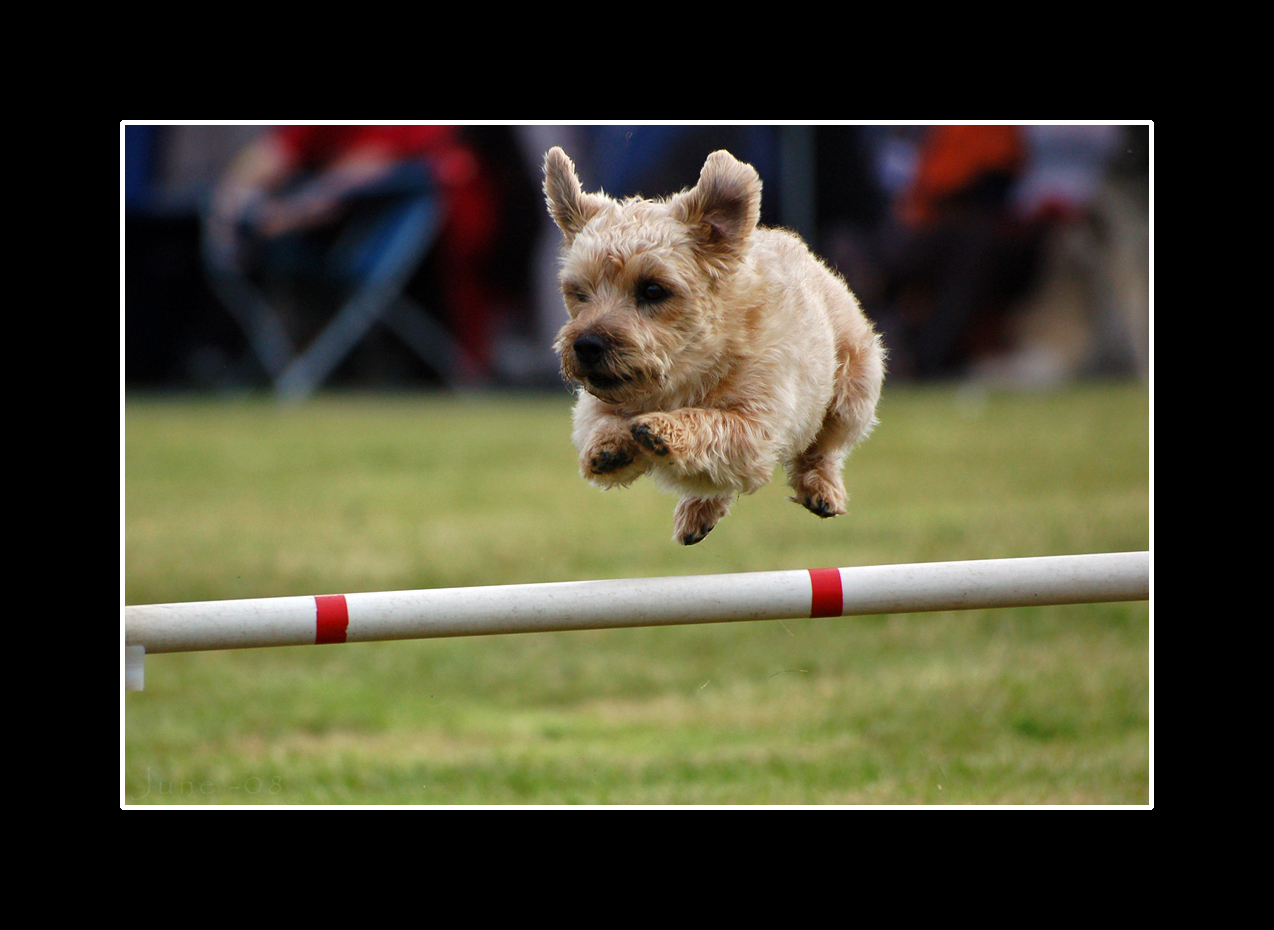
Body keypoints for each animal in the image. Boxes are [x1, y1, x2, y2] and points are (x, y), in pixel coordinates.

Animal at [540, 146, 886, 542]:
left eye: (653, 289)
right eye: (579, 293)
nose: (586, 345)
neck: (686, 373)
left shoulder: (756, 427)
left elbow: (711, 422)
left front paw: (664, 429)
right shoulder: (594, 406)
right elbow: (600, 423)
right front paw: (610, 445)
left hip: (853, 390)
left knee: (824, 447)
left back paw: (820, 487)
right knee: (716, 483)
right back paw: (698, 511)